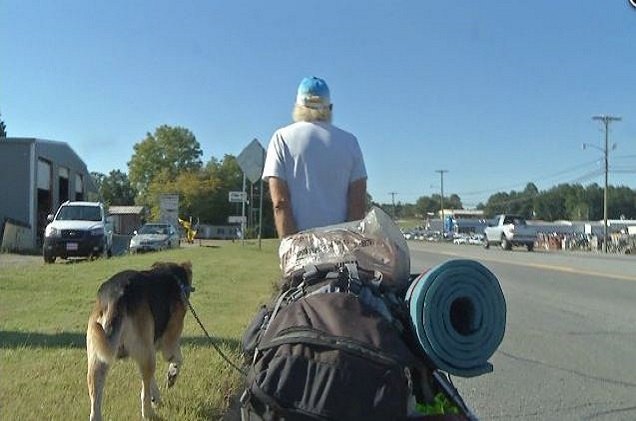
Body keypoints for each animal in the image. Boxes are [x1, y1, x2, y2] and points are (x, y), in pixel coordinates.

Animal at [86, 260, 194, 418]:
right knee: (144, 393)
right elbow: (178, 360)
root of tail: (116, 297)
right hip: (148, 356)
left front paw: (156, 396)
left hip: (97, 360)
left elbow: (151, 381)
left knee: (95, 399)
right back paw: (148, 413)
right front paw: (172, 374)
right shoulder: (169, 343)